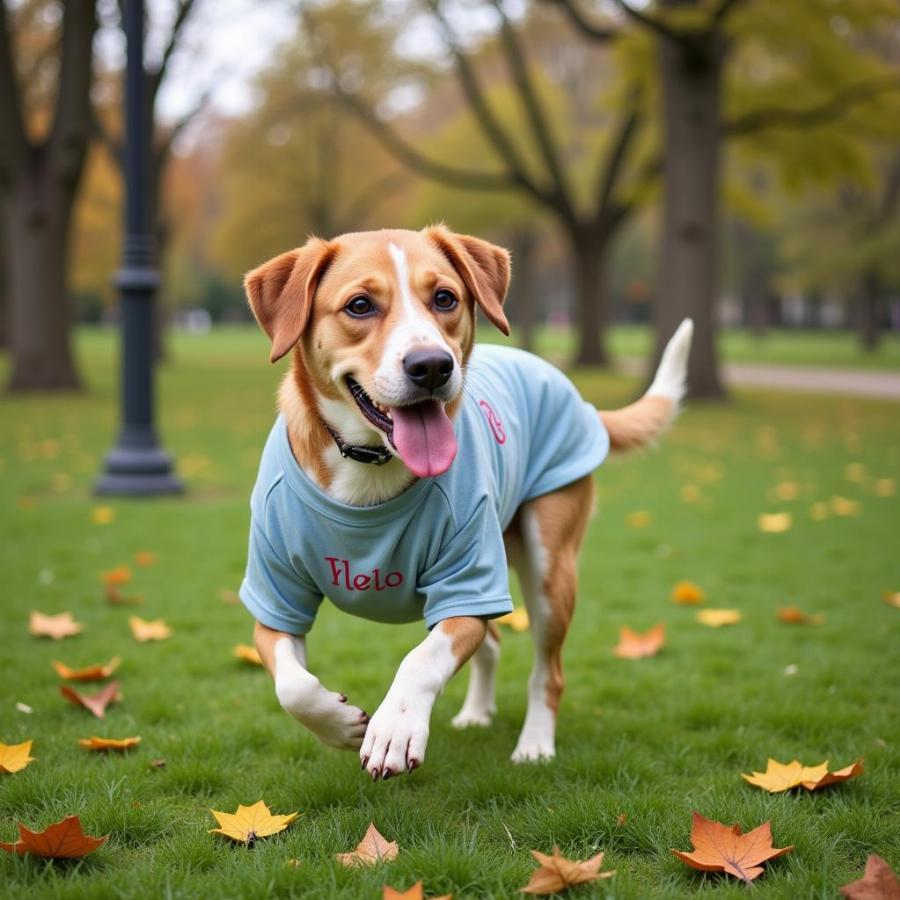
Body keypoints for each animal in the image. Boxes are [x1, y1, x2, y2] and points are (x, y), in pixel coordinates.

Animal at [237, 225, 688, 780]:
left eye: (445, 298)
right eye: (360, 305)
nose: (431, 365)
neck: (371, 467)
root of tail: (574, 395)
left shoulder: (471, 584)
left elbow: (422, 659)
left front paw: (394, 727)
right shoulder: (274, 595)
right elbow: (292, 685)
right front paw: (338, 723)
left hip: (550, 568)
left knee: (549, 672)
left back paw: (535, 743)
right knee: (492, 645)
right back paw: (476, 713)